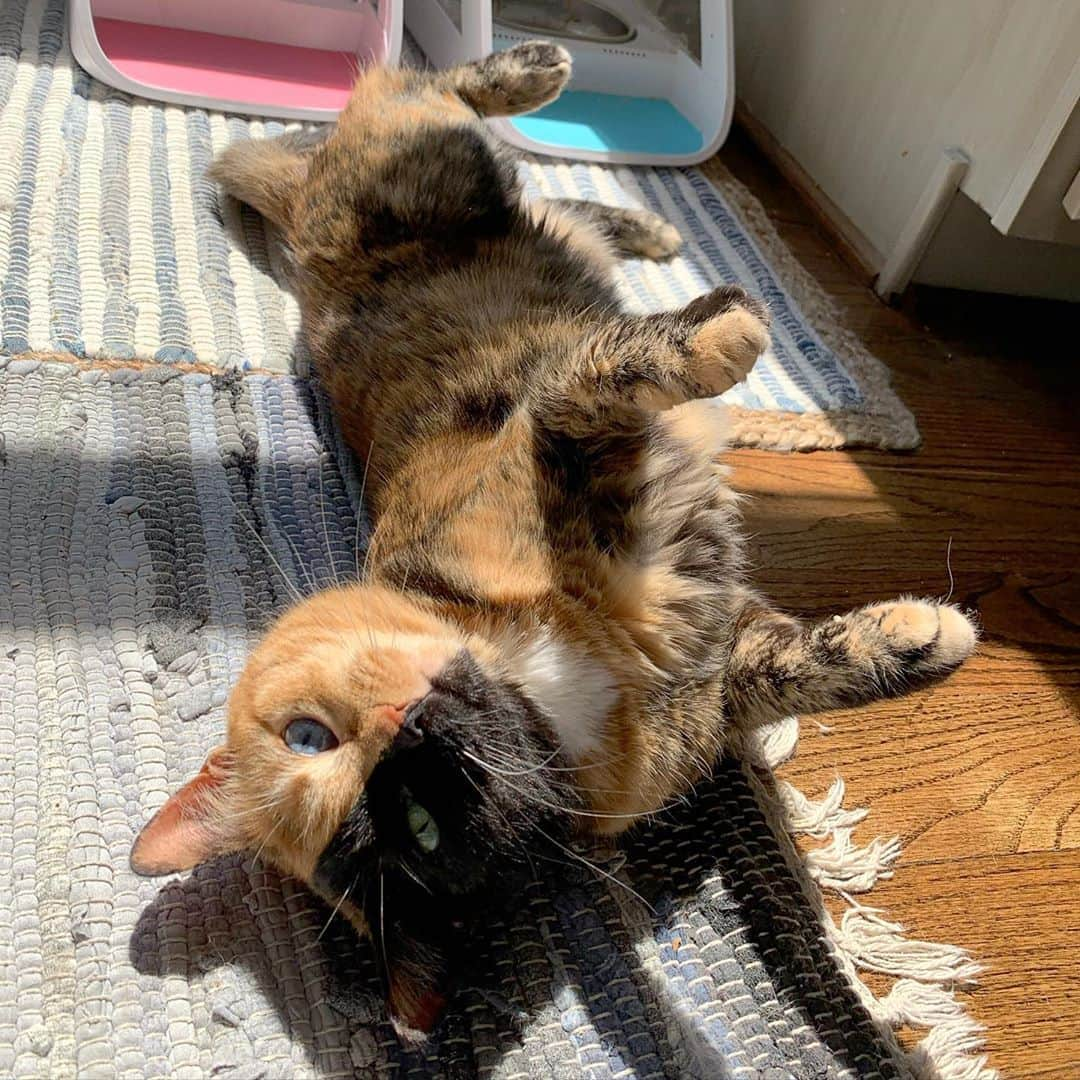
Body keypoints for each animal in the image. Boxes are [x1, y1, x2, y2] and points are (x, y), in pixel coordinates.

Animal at [128, 46, 980, 1041]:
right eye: (421, 830)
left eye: (308, 736)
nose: (409, 726)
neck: (558, 673)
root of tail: (301, 229)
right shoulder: (713, 677)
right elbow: (801, 667)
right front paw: (922, 637)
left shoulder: (550, 436)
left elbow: (603, 374)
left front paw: (725, 326)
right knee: (420, 105)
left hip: (429, 176)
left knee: (439, 107)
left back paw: (583, 134)